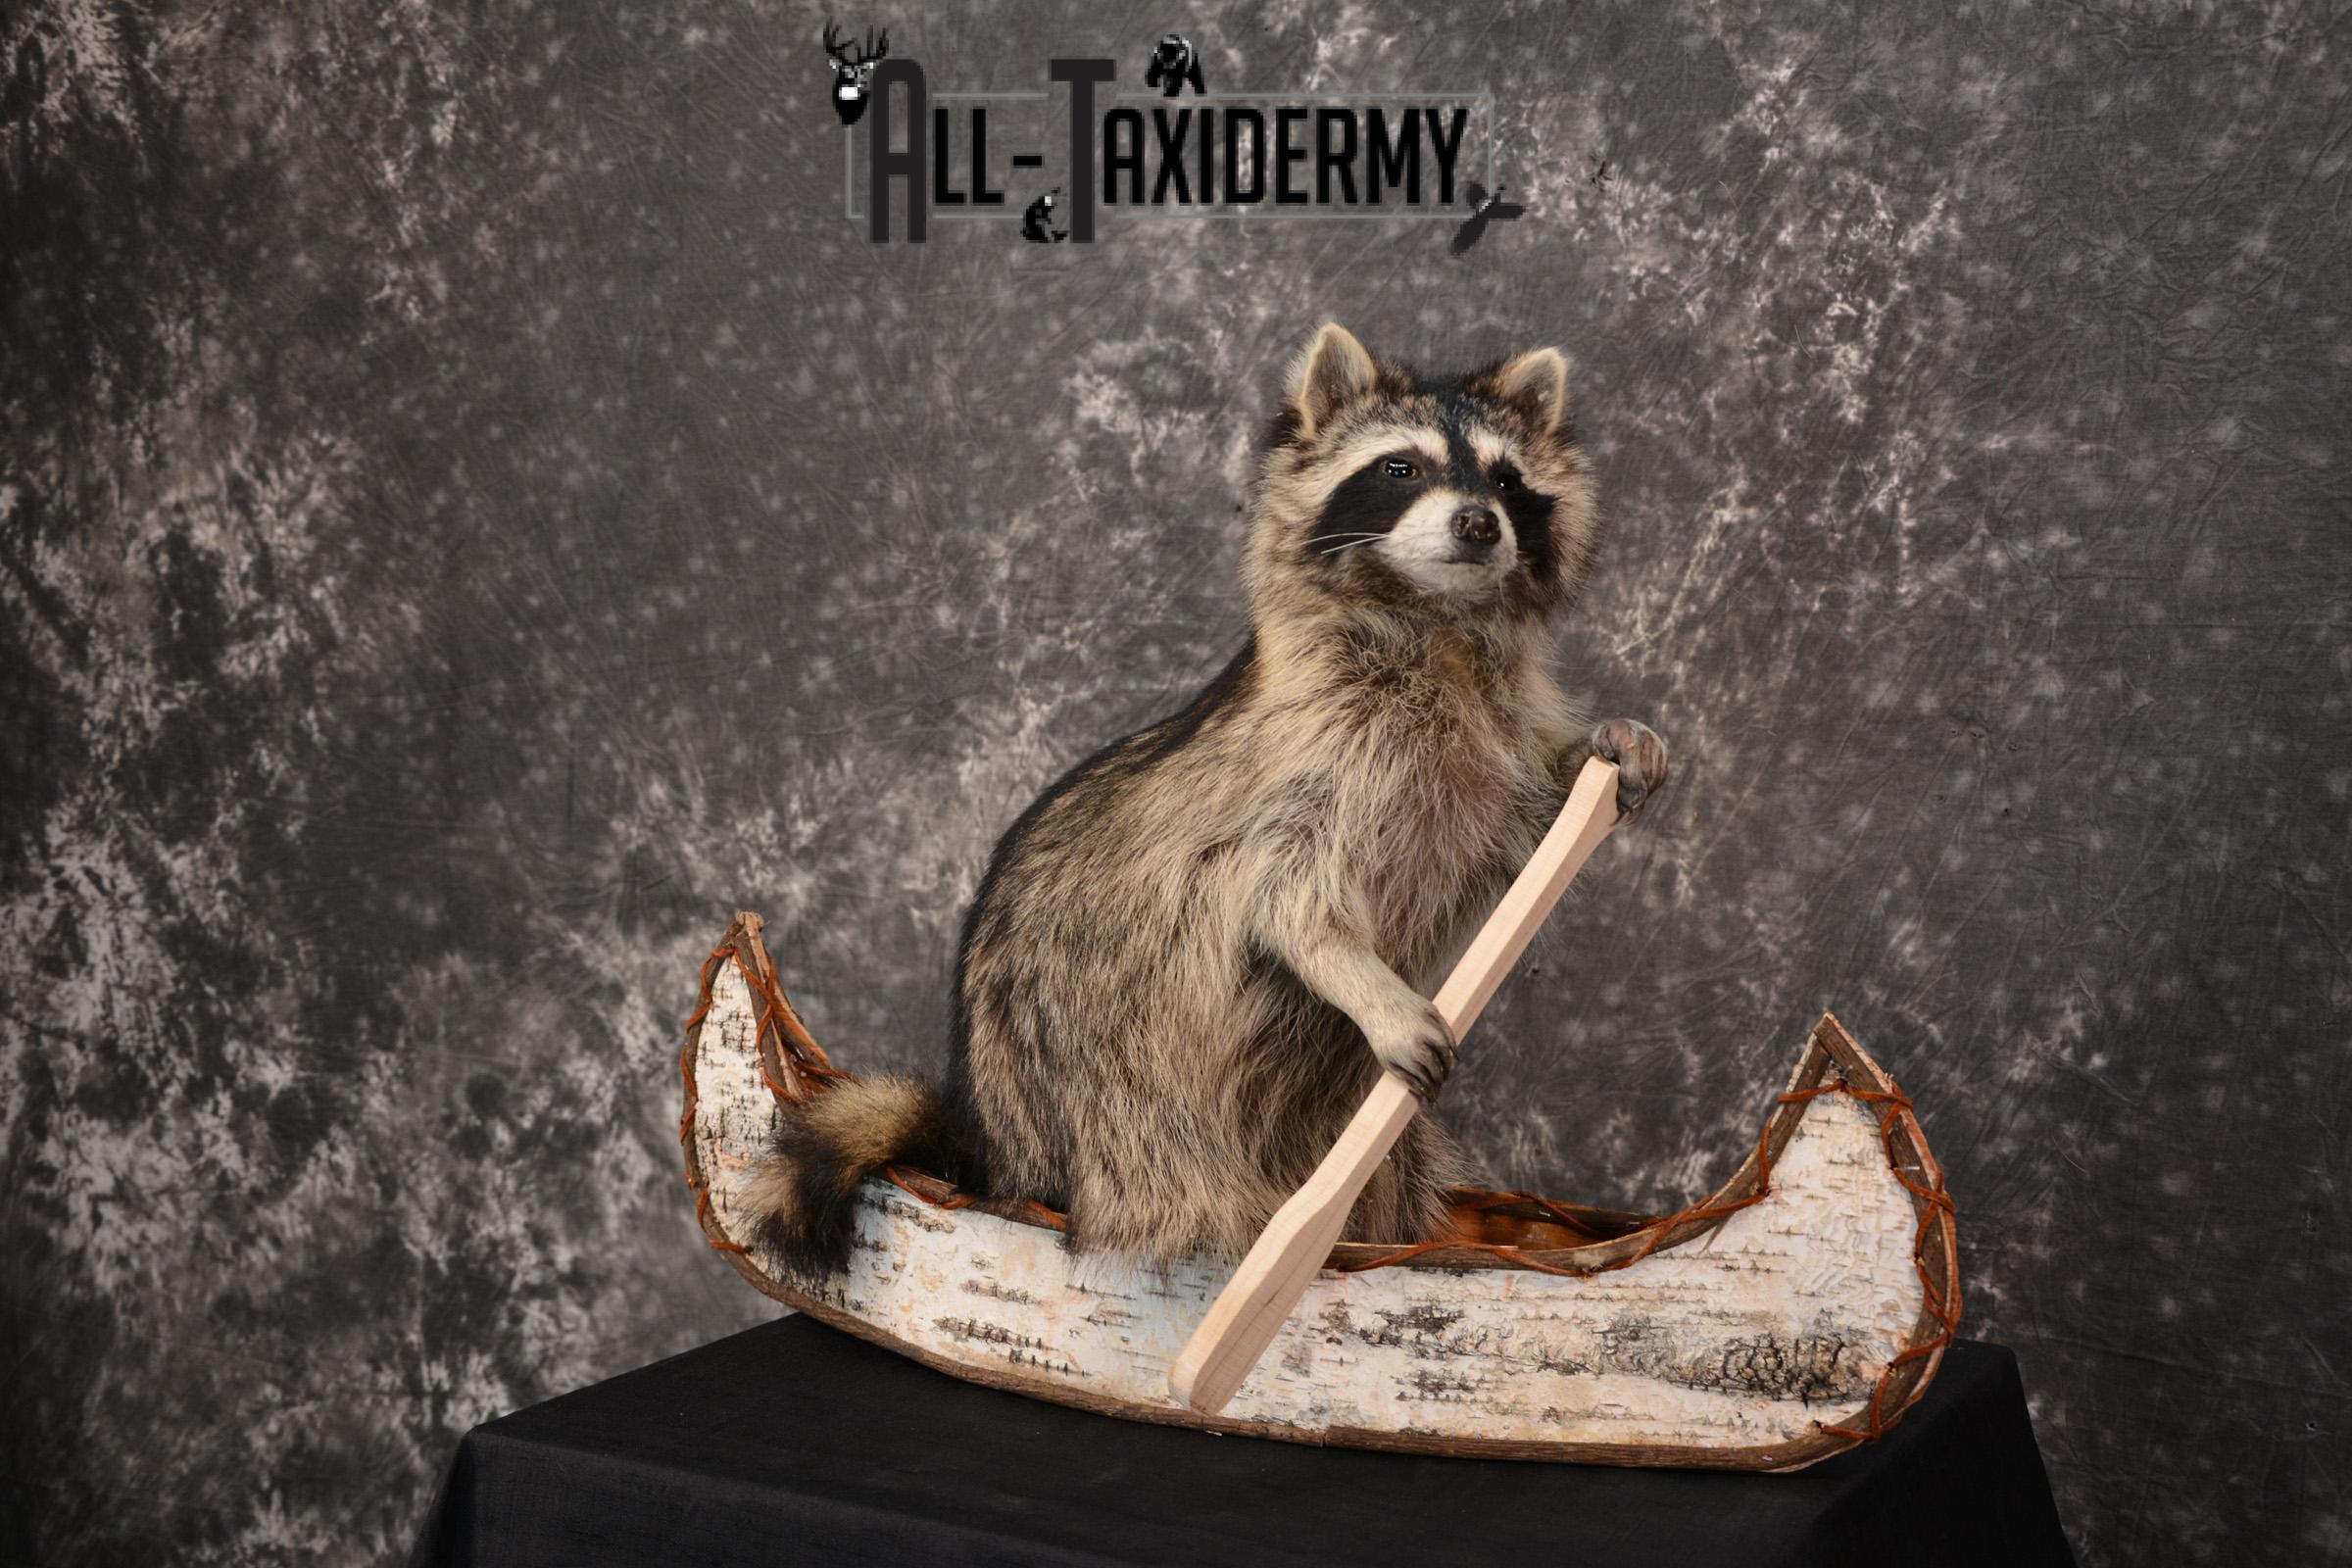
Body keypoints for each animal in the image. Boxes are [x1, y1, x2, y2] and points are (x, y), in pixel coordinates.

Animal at [747, 323, 1668, 1270]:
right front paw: (1361, 979)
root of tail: (991, 1159)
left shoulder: (1489, 741)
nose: (1480, 523)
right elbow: (1281, 889)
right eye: (1401, 468)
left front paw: (1601, 750)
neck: (1433, 620)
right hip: (1101, 1099)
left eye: (1507, 480)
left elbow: (1532, 823)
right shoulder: (1302, 752)